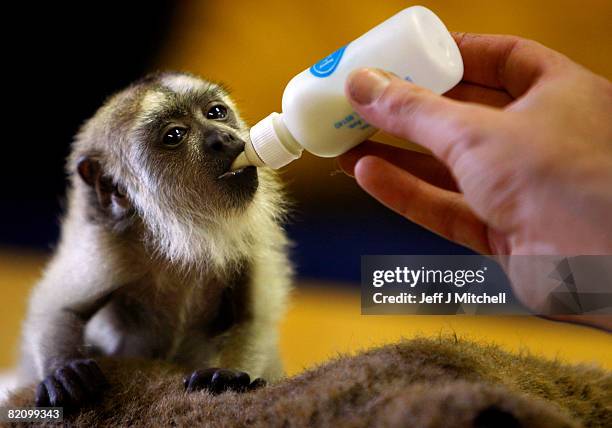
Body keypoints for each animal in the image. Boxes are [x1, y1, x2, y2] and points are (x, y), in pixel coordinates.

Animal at [14, 72, 292, 410]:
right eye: (174, 135)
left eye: (215, 112)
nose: (223, 138)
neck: (183, 235)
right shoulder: (108, 247)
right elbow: (58, 308)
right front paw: (63, 370)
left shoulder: (251, 237)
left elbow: (253, 318)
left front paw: (226, 374)